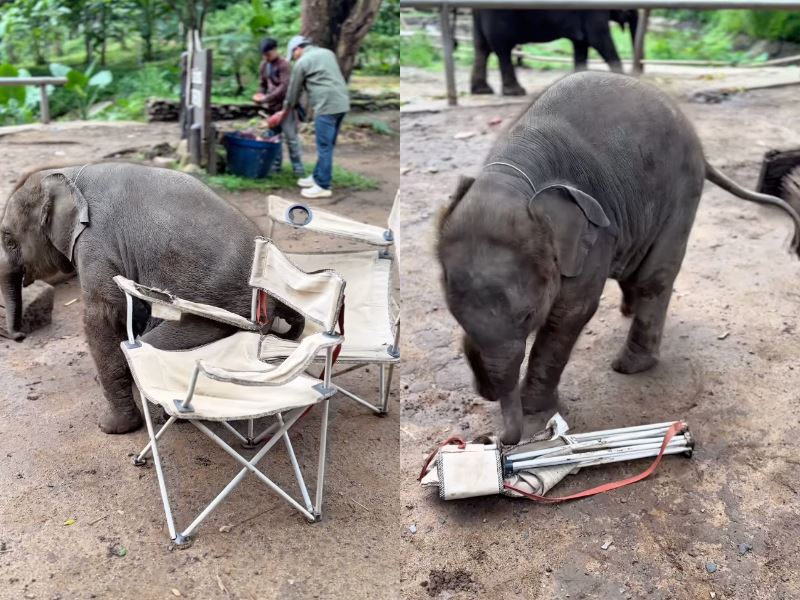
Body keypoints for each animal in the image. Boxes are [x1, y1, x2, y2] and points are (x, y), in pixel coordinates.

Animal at [0, 162, 303, 434]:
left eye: (9, 240)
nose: (19, 337)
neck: (69, 173)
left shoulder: (95, 243)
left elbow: (105, 314)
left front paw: (113, 428)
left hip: (219, 312)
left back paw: (172, 416)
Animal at [437, 72, 800, 445]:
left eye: (528, 316)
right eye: (454, 313)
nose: (490, 439)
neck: (515, 173)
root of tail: (699, 145)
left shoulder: (594, 232)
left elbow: (571, 312)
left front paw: (534, 407)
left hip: (683, 191)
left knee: (654, 276)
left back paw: (630, 366)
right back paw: (628, 312)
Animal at [470, 9, 638, 96]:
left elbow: (581, 44)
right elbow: (598, 39)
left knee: (482, 47)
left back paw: (482, 90)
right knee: (502, 48)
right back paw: (515, 92)